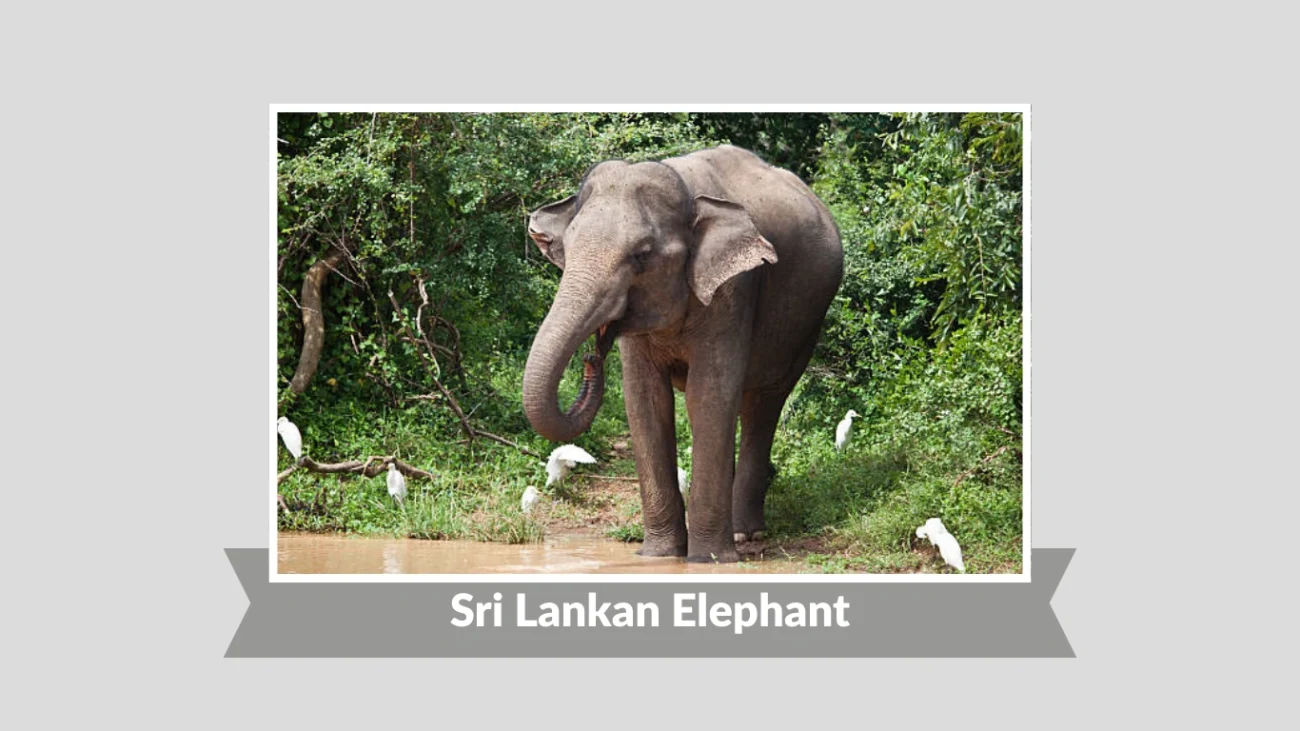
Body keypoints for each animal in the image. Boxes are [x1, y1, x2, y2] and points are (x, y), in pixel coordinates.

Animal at [522, 144, 843, 562]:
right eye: (568, 247)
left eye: (642, 256)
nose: (592, 358)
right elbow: (645, 400)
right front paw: (658, 556)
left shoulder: (733, 290)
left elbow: (705, 396)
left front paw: (708, 560)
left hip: (806, 327)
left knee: (764, 404)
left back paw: (744, 535)